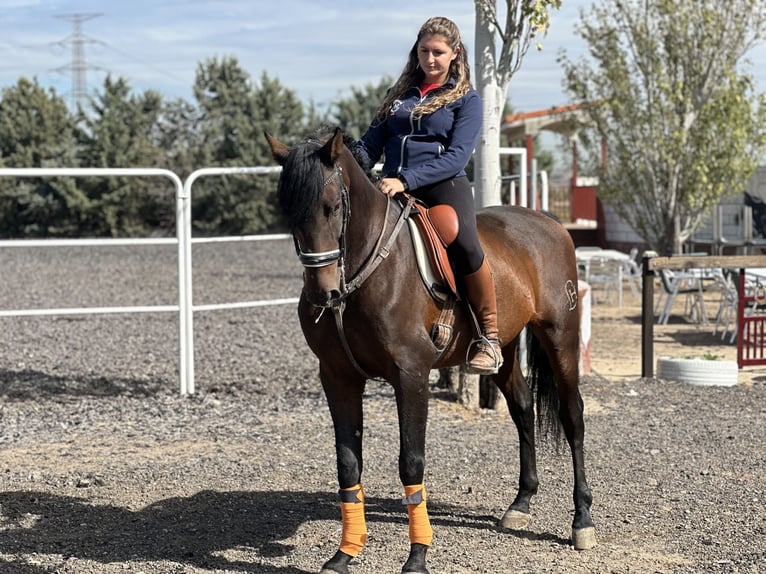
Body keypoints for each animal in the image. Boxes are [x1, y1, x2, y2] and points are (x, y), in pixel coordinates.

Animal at [268, 127, 596, 574]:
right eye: (289, 211)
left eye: (332, 206)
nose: (324, 295)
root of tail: (549, 222)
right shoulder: (338, 376)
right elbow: (348, 463)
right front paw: (344, 554)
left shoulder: (411, 374)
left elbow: (411, 461)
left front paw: (417, 557)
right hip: (506, 347)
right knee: (522, 408)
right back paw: (521, 503)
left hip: (560, 335)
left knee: (572, 416)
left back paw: (582, 521)